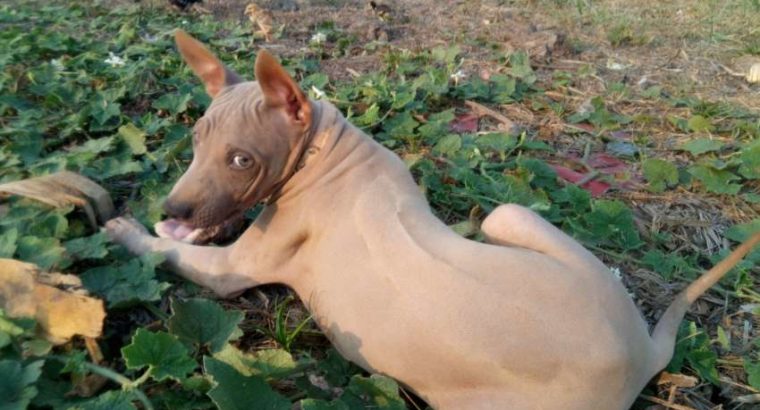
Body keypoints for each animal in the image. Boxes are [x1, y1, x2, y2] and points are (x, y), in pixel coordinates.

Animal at [105, 30, 760, 408]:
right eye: (195, 143)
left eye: (241, 161)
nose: (171, 209)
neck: (328, 150)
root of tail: (642, 353)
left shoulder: (233, 268)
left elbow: (175, 255)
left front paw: (126, 230)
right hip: (509, 216)